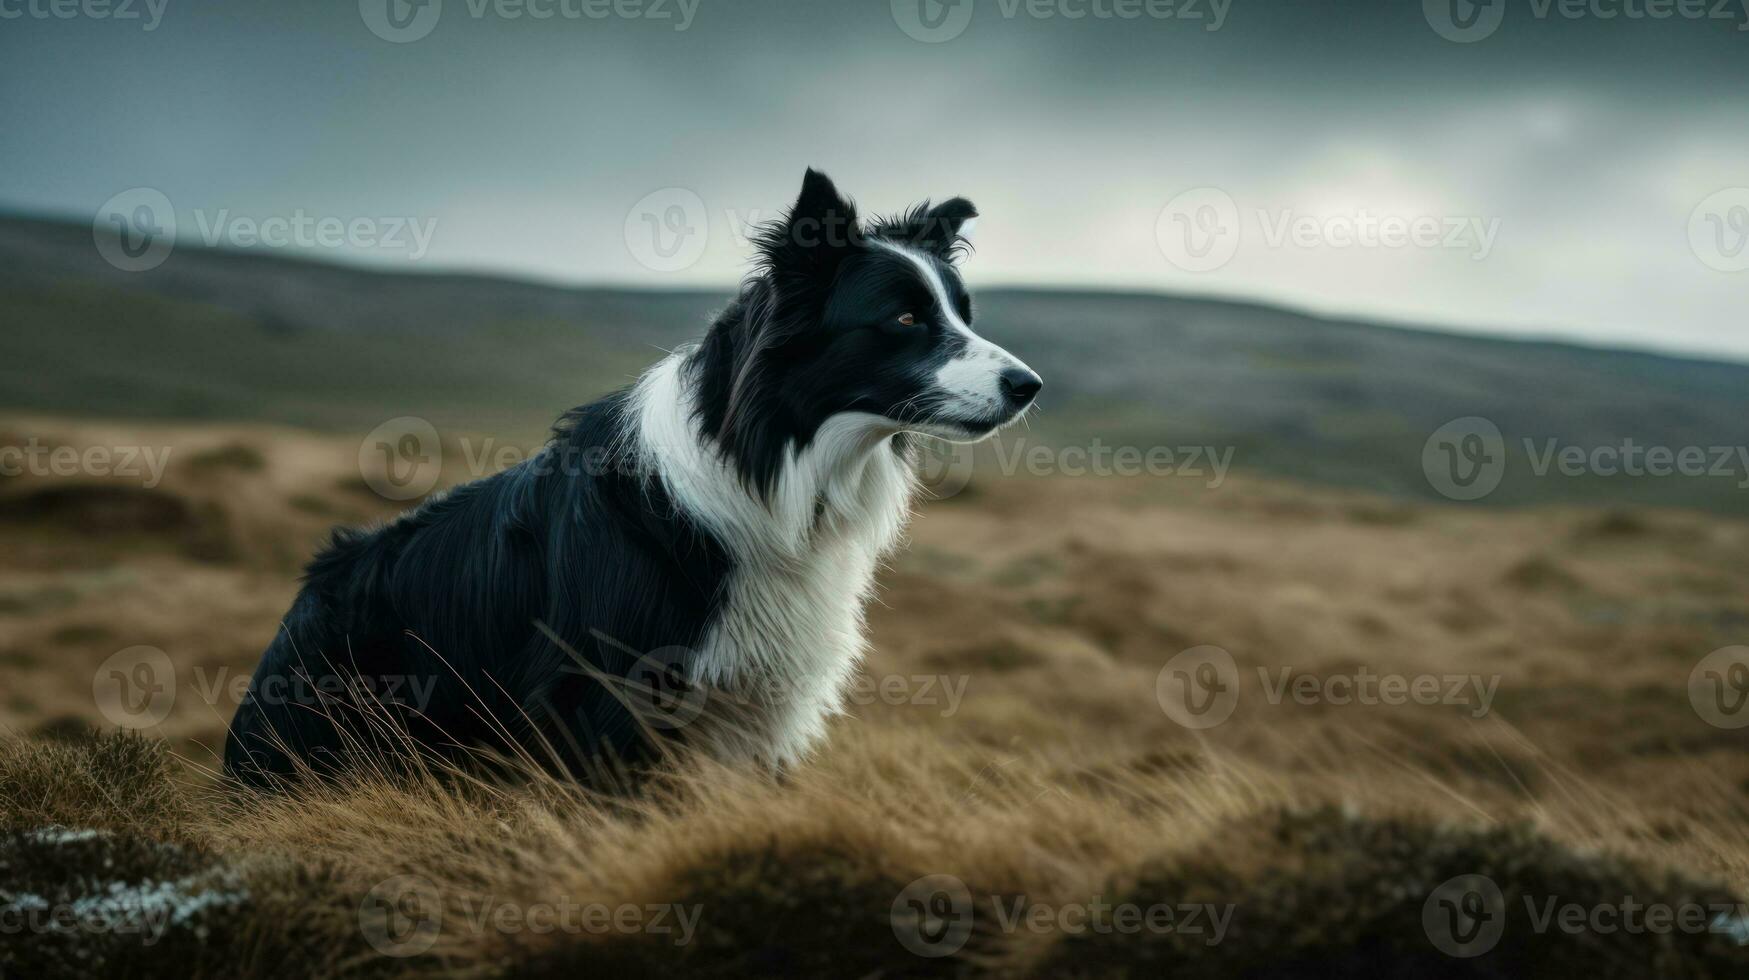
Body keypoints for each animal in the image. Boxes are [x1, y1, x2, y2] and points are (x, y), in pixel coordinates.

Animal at [218, 172, 1035, 787]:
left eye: (962, 313)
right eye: (903, 319)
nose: (1029, 386)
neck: (767, 464)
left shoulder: (751, 712)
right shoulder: (604, 700)